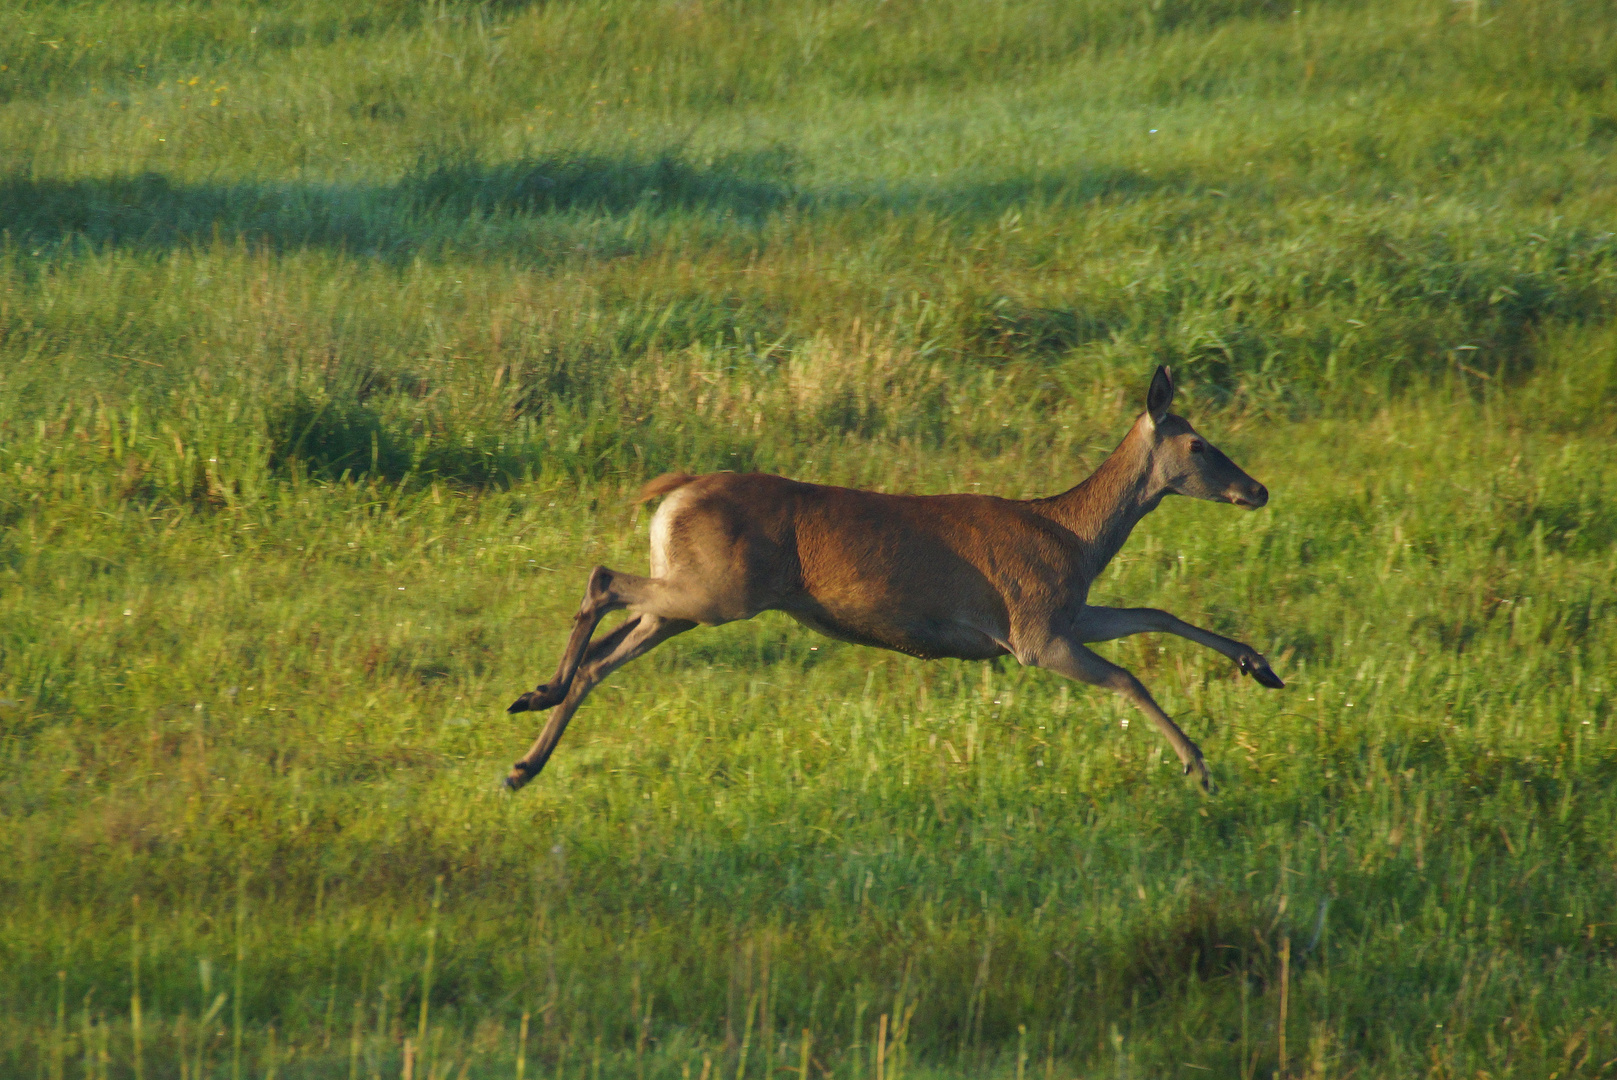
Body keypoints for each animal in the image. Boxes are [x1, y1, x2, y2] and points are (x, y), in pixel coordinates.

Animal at [498, 367, 1280, 798]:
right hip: (719, 593)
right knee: (602, 579)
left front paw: (1259, 666)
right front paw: (1198, 766)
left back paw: (525, 751)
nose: (1259, 489)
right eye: (1199, 444)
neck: (1074, 540)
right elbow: (1127, 678)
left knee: (606, 655)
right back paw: (537, 698)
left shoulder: (1063, 612)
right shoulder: (1032, 630)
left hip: (688, 598)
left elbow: (1155, 612)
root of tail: (674, 494)